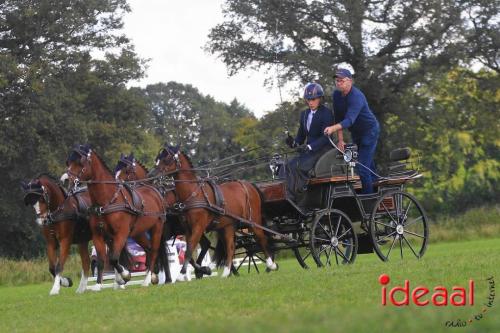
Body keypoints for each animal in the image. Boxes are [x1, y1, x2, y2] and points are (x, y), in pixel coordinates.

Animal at [65, 144, 168, 286]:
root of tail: (155, 191)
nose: (65, 180)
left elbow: (113, 258)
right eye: (68, 162)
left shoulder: (121, 233)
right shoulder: (98, 235)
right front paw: (99, 284)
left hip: (157, 227)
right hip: (138, 232)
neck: (107, 201)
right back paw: (153, 274)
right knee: (148, 248)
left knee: (153, 250)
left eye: (80, 162)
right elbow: (102, 260)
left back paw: (147, 279)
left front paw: (125, 275)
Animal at [150, 144, 280, 276]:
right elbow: (189, 250)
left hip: (252, 220)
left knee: (261, 238)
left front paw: (184, 273)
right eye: (157, 159)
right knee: (230, 247)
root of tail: (249, 185)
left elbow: (190, 249)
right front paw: (201, 269)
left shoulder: (199, 226)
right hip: (228, 226)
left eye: (167, 159)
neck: (194, 193)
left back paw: (271, 264)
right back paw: (226, 272)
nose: (152, 175)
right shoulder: (187, 228)